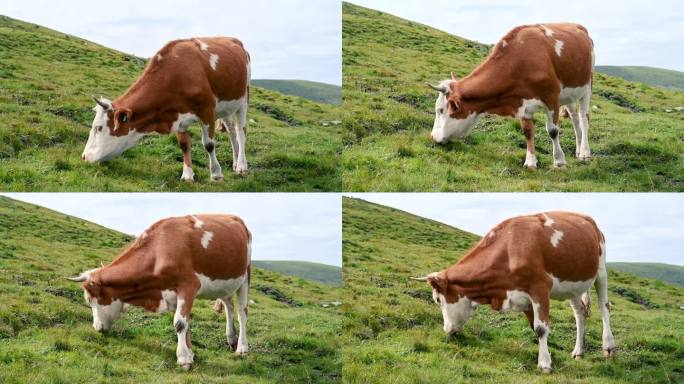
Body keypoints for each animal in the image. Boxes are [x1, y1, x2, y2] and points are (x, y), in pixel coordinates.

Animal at [67, 214, 251, 370]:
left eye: (90, 300)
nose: (96, 328)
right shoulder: (171, 294)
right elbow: (185, 324)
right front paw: (190, 354)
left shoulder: (188, 286)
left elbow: (179, 323)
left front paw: (183, 359)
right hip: (225, 283)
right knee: (228, 305)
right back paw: (231, 339)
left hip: (245, 276)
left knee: (242, 312)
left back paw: (242, 348)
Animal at [81, 36, 251, 179]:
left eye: (98, 128)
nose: (83, 157)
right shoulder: (178, 115)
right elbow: (184, 144)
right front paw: (187, 175)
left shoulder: (207, 109)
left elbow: (209, 144)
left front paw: (216, 173)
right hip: (226, 107)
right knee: (231, 131)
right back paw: (235, 162)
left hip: (243, 99)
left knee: (241, 132)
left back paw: (242, 166)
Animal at [412, 212, 616, 374]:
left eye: (437, 299)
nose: (447, 330)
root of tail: (589, 220)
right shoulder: (522, 297)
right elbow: (534, 327)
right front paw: (547, 356)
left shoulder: (540, 288)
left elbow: (541, 328)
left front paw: (544, 364)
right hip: (573, 286)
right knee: (580, 313)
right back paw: (578, 351)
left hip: (601, 271)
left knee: (604, 306)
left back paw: (609, 346)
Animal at [430, 24, 596, 168]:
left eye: (440, 110)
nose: (432, 136)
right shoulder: (522, 102)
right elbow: (528, 132)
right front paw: (530, 162)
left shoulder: (551, 98)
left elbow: (553, 131)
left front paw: (559, 161)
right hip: (569, 94)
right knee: (574, 117)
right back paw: (578, 149)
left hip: (587, 86)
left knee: (584, 118)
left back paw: (585, 152)